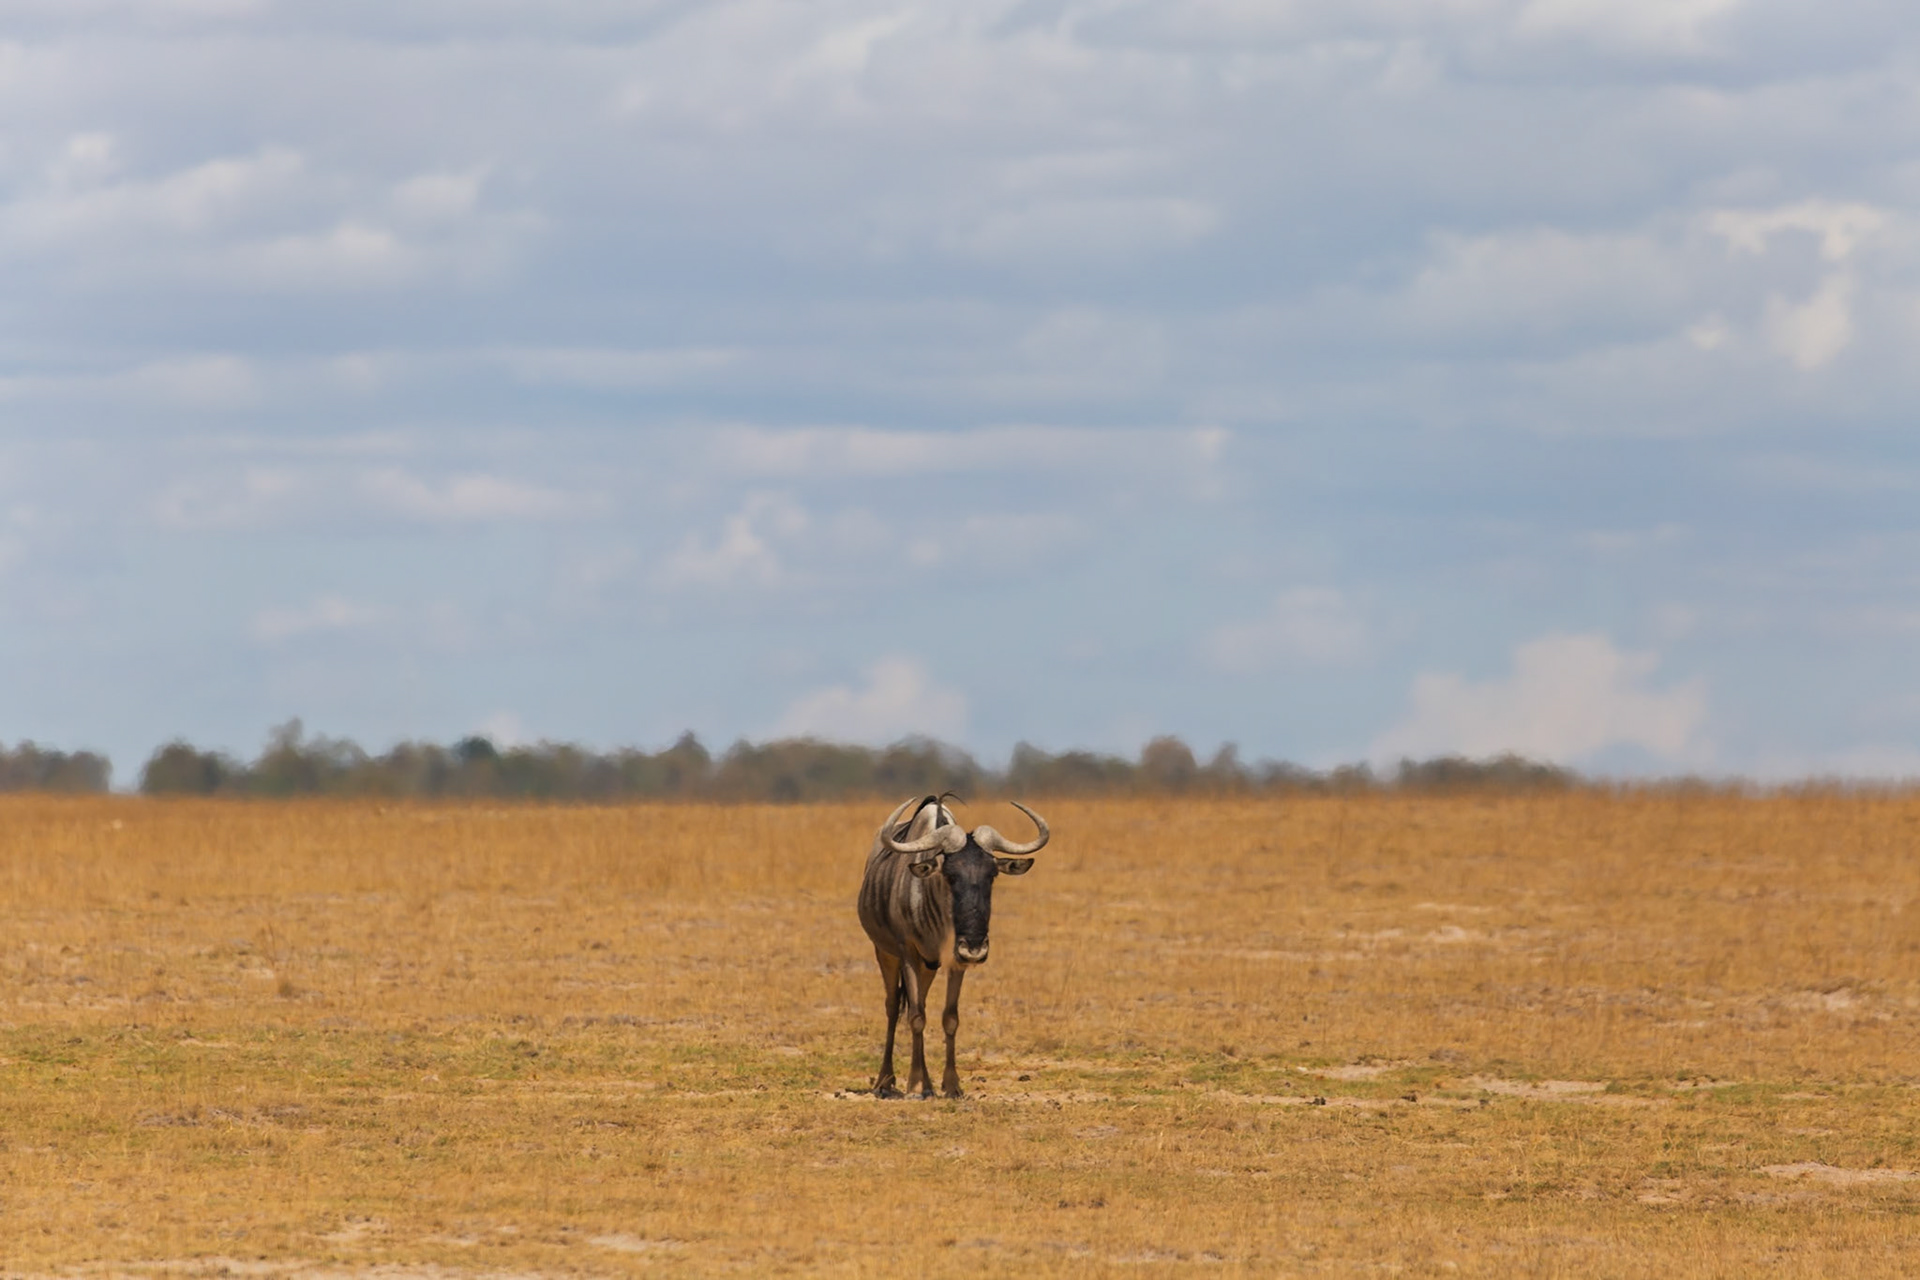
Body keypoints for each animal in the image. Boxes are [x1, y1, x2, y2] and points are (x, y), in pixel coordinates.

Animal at [856, 793, 1049, 1098]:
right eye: (949, 874)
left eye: (992, 875)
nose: (975, 948)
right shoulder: (907, 953)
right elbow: (915, 1017)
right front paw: (916, 1083)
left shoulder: (954, 962)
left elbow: (949, 1017)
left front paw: (950, 1085)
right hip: (885, 953)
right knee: (893, 1006)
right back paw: (885, 1080)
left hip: (928, 967)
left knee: (918, 1002)